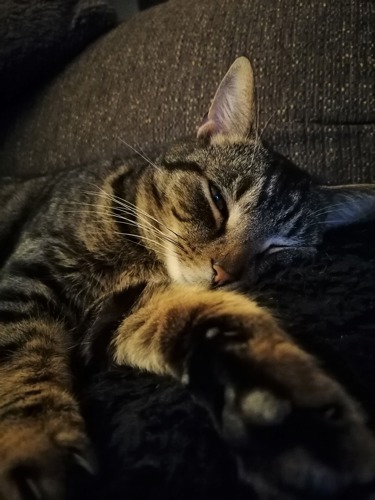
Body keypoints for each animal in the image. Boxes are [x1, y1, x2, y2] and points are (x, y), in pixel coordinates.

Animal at [0, 58, 375, 500]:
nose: (223, 272)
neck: (142, 260)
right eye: (217, 200)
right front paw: (34, 444)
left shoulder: (122, 314)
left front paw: (288, 414)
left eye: (278, 248)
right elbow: (23, 364)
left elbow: (211, 320)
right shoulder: (29, 278)